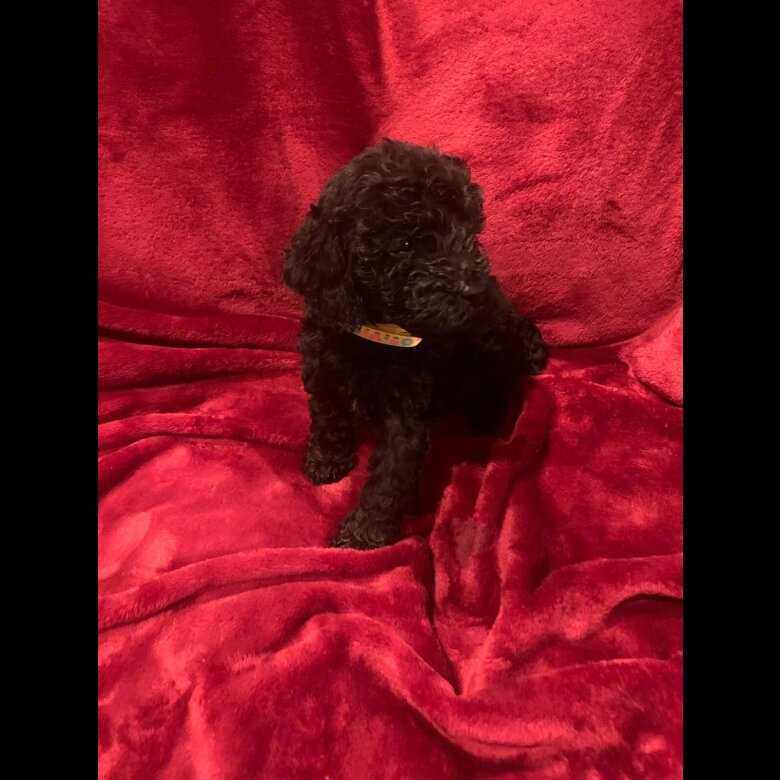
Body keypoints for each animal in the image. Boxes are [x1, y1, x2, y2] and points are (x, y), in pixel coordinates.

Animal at [283, 139, 548, 549]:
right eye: (407, 242)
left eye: (468, 232)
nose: (474, 289)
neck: (376, 335)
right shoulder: (322, 361)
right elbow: (327, 413)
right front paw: (327, 458)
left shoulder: (406, 406)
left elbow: (392, 472)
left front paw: (363, 531)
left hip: (496, 339)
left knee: (498, 379)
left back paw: (486, 413)